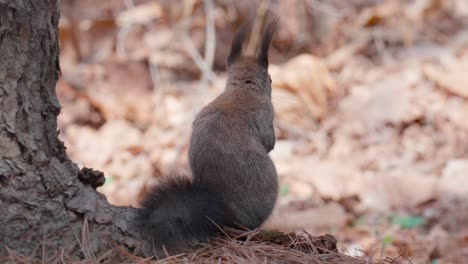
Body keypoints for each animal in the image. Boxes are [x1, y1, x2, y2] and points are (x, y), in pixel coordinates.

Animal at [133, 16, 278, 256]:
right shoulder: (265, 115)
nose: (272, 82)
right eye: (271, 79)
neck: (240, 89)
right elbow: (269, 140)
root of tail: (222, 213)